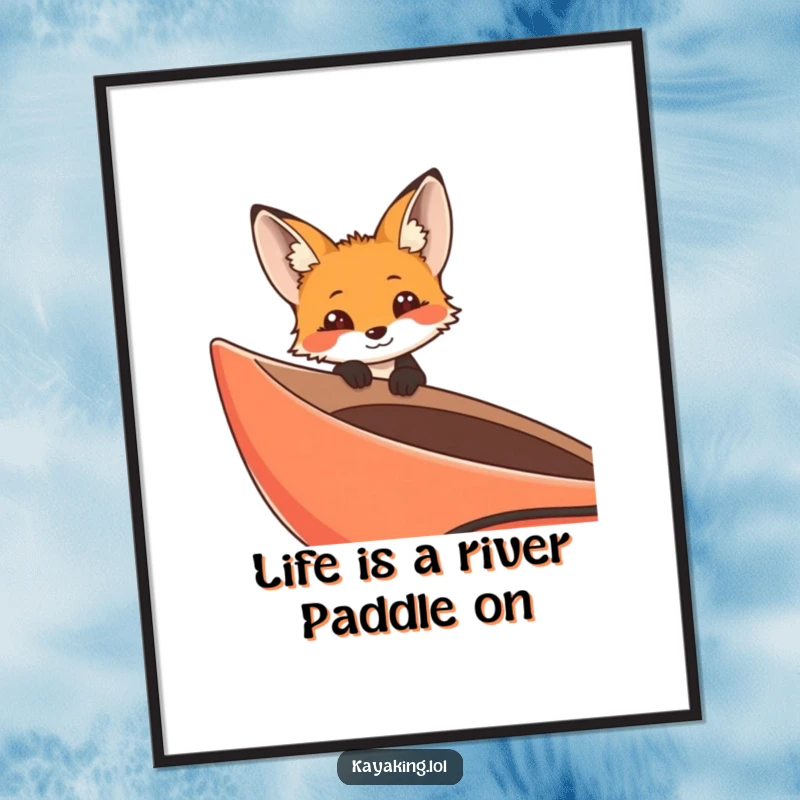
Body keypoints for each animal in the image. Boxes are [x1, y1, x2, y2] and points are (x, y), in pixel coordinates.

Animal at [250, 168, 459, 396]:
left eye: (406, 301)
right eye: (335, 320)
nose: (376, 332)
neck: (380, 367)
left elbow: (413, 372)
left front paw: (404, 379)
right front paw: (354, 371)